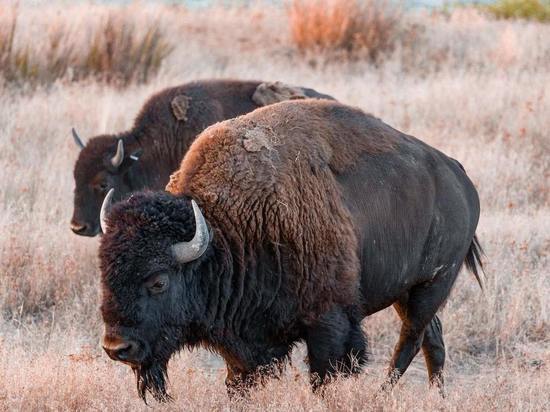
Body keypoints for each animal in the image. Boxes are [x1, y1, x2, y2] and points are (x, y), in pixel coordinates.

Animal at [98, 98, 484, 400]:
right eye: (105, 275)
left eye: (158, 281)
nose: (117, 348)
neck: (227, 229)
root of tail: (458, 175)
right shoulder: (245, 344)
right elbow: (238, 381)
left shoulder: (329, 323)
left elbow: (324, 377)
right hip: (407, 291)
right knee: (432, 339)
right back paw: (437, 396)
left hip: (432, 285)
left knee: (410, 341)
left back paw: (383, 394)